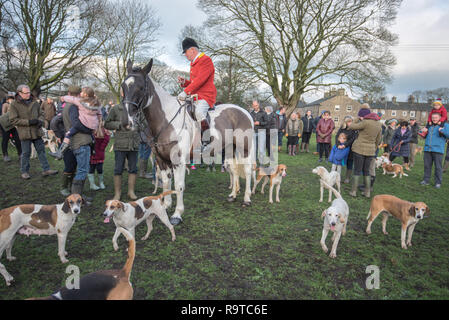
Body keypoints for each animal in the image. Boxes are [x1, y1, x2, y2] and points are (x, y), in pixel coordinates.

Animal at [120, 60, 256, 225]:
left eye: (140, 87)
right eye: (123, 87)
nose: (127, 122)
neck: (165, 119)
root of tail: (244, 111)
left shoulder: (178, 161)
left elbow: (178, 186)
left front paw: (177, 214)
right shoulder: (161, 160)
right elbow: (166, 183)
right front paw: (166, 206)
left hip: (245, 149)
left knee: (248, 171)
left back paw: (247, 198)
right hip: (230, 149)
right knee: (235, 171)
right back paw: (233, 195)